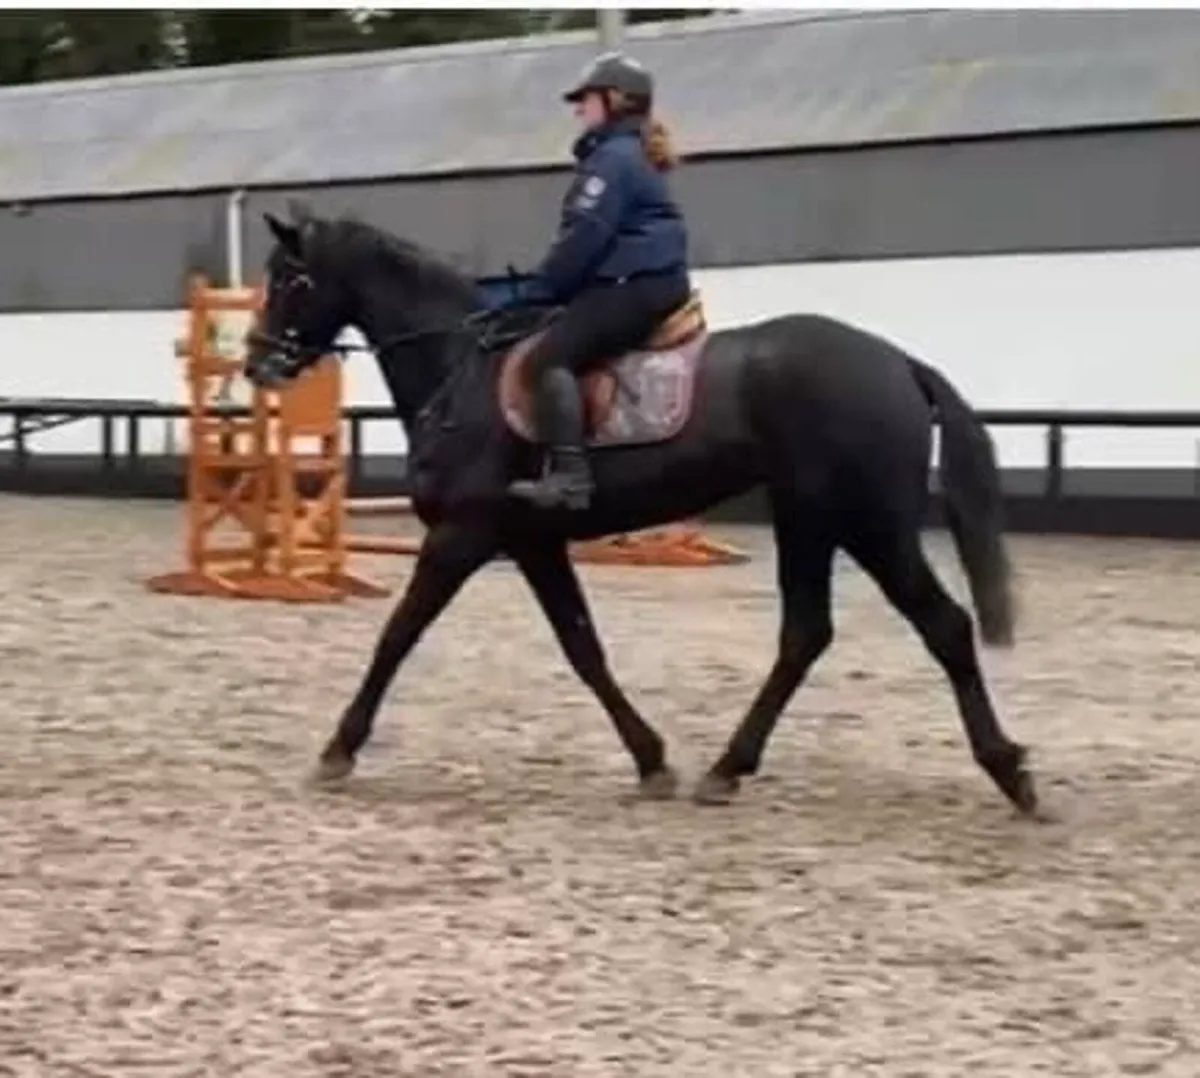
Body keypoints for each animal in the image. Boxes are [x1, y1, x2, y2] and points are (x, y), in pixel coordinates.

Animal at [245, 202, 1038, 819]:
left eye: (290, 279)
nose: (257, 362)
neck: (460, 370)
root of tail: (898, 361)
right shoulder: (533, 543)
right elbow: (583, 648)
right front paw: (651, 759)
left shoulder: (461, 535)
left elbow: (397, 635)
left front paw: (337, 749)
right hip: (813, 520)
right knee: (811, 634)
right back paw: (728, 768)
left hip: (862, 521)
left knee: (935, 625)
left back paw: (1007, 771)